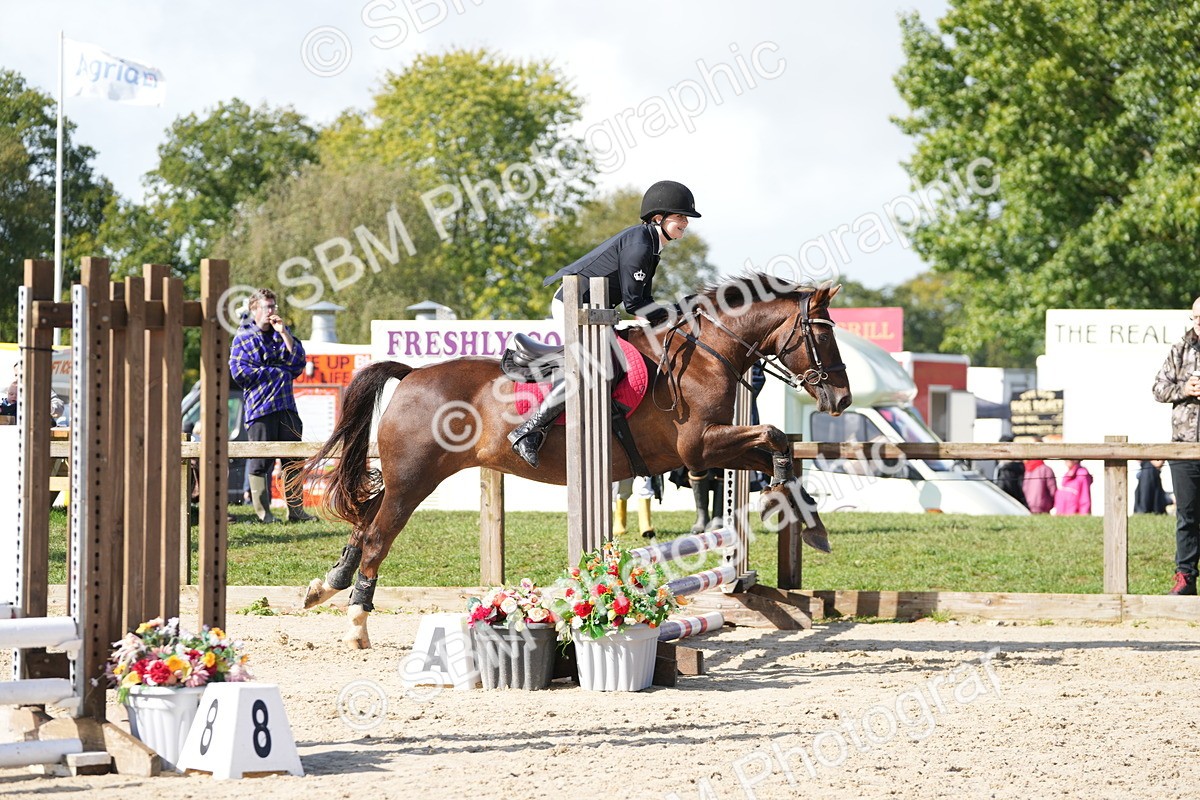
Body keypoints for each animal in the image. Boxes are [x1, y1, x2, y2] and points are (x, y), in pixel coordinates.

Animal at [295, 276, 852, 648]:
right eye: (823, 335)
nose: (842, 400)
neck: (706, 355)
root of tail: (410, 376)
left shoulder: (717, 446)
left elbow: (776, 447)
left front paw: (808, 522)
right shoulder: (699, 447)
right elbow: (774, 436)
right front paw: (795, 510)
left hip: (409, 478)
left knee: (365, 521)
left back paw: (326, 586)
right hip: (415, 478)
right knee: (377, 534)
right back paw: (357, 624)